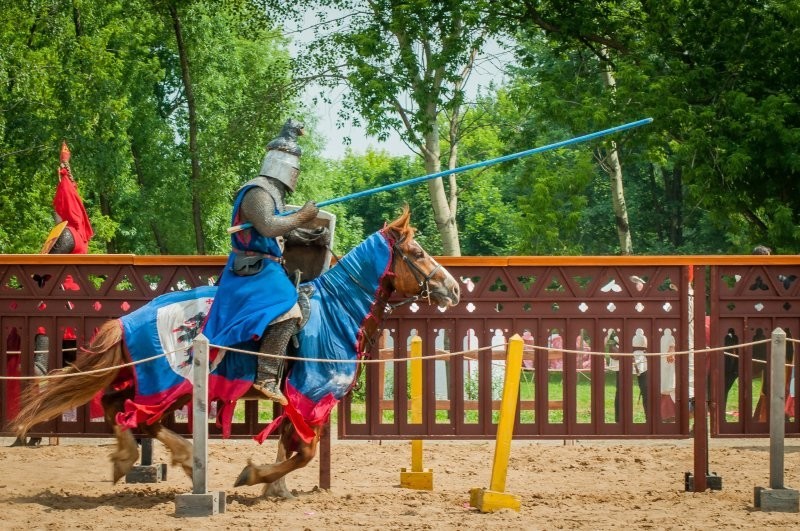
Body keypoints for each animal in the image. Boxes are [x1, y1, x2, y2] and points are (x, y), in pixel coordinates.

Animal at [12, 208, 460, 498]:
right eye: (418, 254)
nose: (453, 289)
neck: (337, 311)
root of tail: (127, 320)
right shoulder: (309, 395)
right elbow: (305, 452)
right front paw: (255, 476)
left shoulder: (299, 402)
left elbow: (292, 445)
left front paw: (275, 487)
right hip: (165, 381)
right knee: (134, 414)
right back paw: (168, 457)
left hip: (151, 380)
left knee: (117, 405)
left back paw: (150, 456)